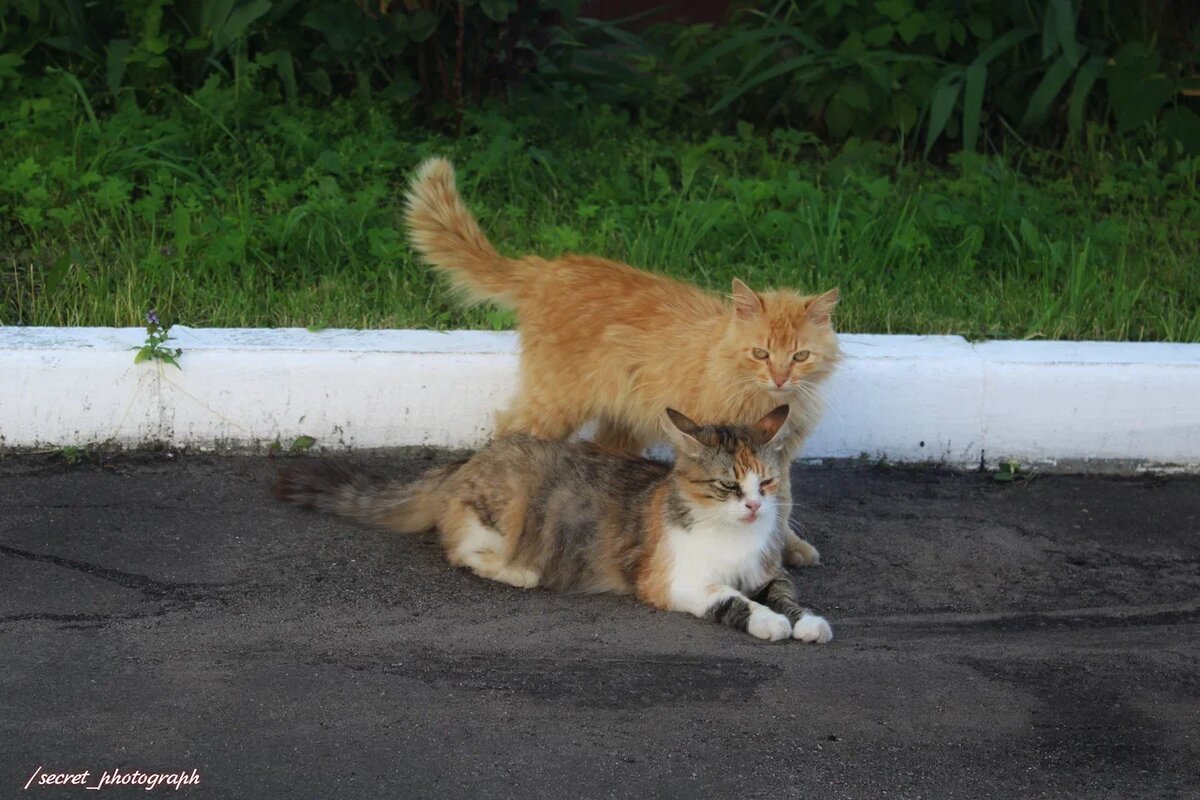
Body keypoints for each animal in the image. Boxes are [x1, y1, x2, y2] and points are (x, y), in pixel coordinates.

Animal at [274, 407, 830, 642]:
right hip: (510, 510)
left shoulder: (770, 572)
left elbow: (787, 596)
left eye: (766, 483)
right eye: (728, 486)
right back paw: (520, 573)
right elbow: (733, 601)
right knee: (461, 551)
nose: (755, 507)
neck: (734, 538)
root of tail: (468, 460)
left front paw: (805, 622)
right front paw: (768, 623)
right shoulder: (677, 582)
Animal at [403, 158, 835, 568]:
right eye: (760, 354)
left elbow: (780, 503)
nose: (780, 378)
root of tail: (548, 268)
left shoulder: (778, 456)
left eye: (799, 356)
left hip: (624, 418)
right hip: (553, 403)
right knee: (508, 433)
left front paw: (787, 546)